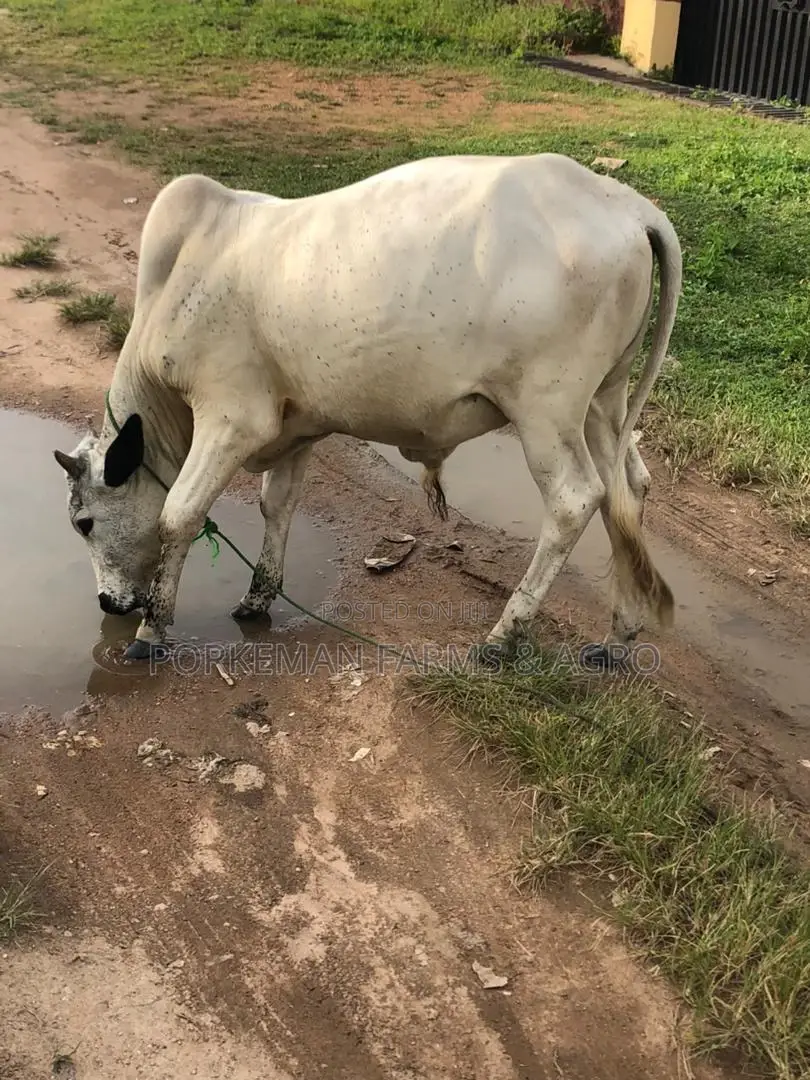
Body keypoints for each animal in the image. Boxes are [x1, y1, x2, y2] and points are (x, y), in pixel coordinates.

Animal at [53, 152, 681, 667]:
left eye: (84, 522)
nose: (108, 603)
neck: (179, 279)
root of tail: (627, 205)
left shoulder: (232, 419)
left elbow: (178, 515)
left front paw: (152, 630)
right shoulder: (294, 426)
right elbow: (277, 506)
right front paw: (257, 597)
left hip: (546, 410)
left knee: (577, 499)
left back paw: (504, 635)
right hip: (603, 402)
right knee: (627, 491)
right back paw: (619, 635)